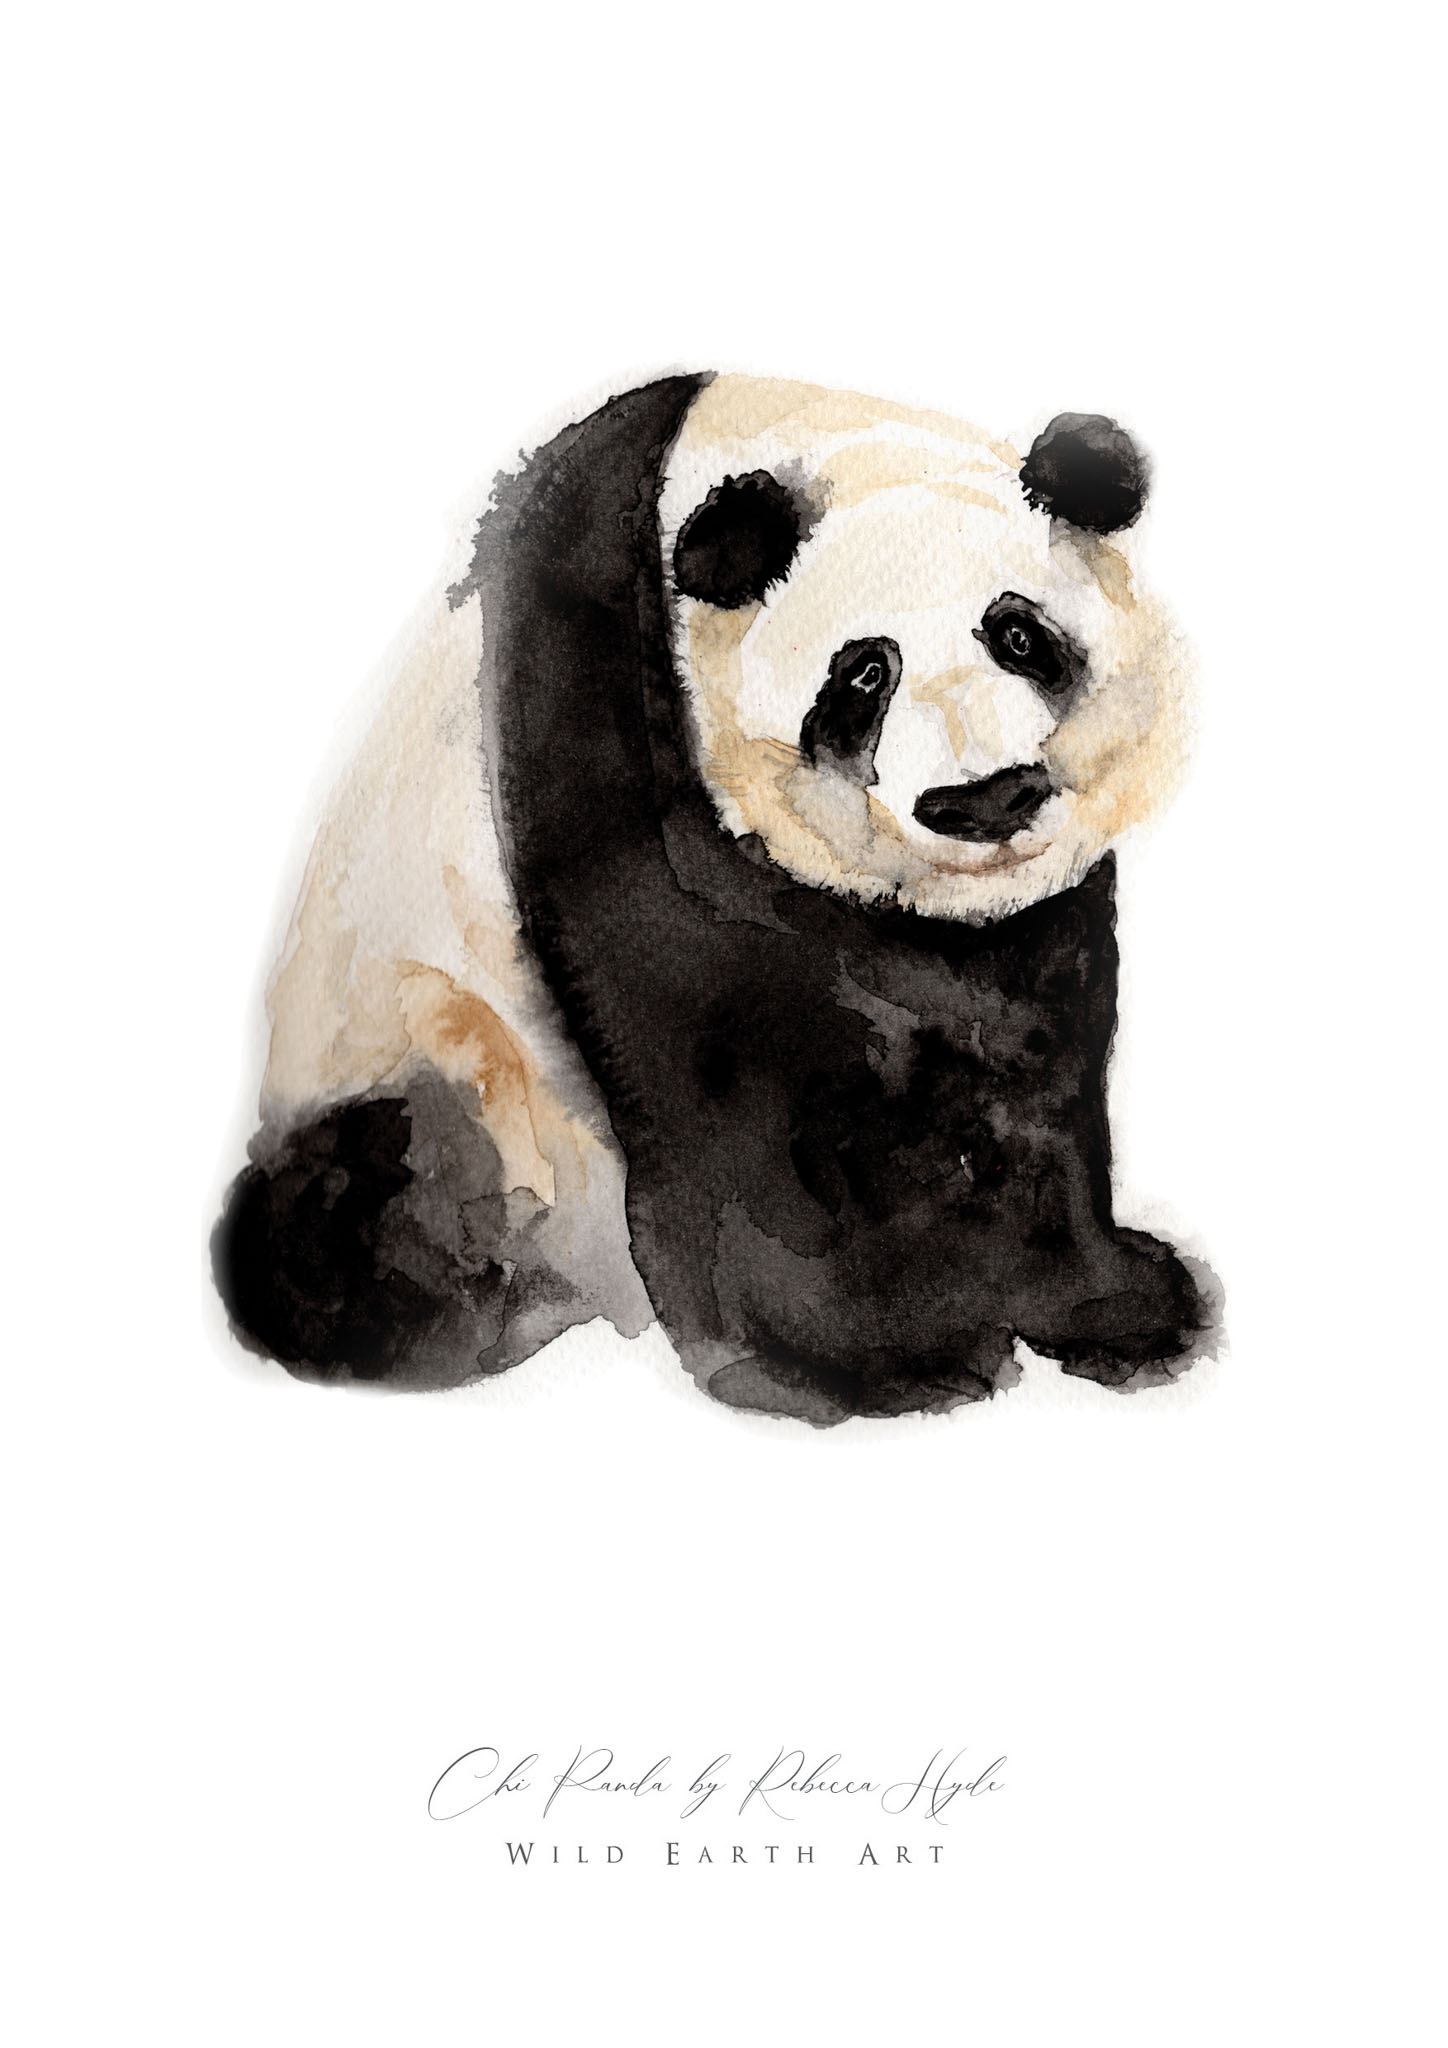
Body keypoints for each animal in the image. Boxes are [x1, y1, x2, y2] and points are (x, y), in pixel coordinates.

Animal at [213, 372, 1217, 1424]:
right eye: (865, 672)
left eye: (1019, 633)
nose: (985, 799)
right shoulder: (606, 730)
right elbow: (723, 1091)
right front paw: (867, 1364)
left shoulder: (1031, 927)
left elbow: (1042, 1066)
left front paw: (1115, 1304)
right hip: (426, 1068)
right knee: (349, 1210)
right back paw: (451, 1308)